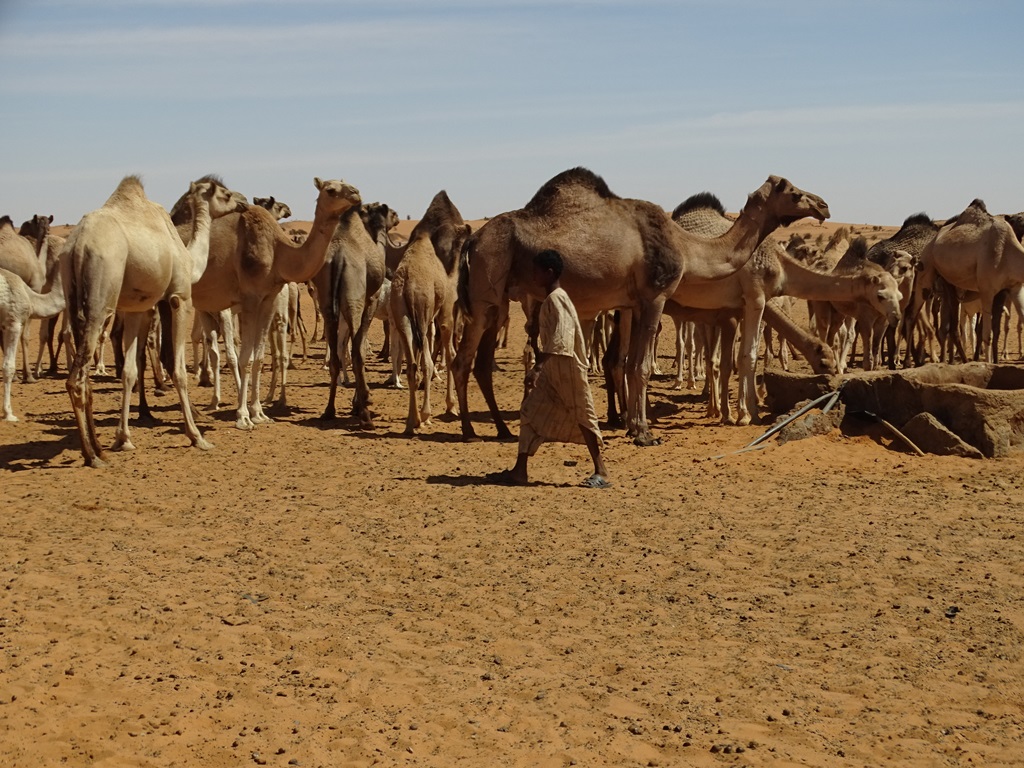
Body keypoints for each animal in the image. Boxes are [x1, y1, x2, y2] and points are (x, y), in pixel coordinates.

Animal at [62, 177, 245, 466]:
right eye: (225, 194)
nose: (243, 202)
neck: (190, 258)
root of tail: (78, 245)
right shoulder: (179, 298)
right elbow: (178, 368)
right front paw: (197, 437)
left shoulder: (137, 308)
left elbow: (129, 372)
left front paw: (123, 439)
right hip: (100, 300)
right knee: (76, 380)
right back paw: (91, 455)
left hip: (71, 295)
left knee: (83, 376)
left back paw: (99, 449)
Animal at [190, 176, 362, 428]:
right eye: (330, 190)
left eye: (347, 182)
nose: (356, 193)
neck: (278, 251)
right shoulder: (250, 300)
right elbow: (245, 358)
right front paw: (243, 416)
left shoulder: (268, 300)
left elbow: (259, 357)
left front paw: (259, 413)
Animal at [452, 167, 827, 444]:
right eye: (793, 192)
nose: (823, 205)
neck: (686, 246)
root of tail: (473, 239)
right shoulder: (654, 297)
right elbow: (641, 366)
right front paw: (645, 433)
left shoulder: (632, 303)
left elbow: (628, 363)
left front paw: (632, 425)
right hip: (485, 294)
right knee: (462, 361)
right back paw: (469, 430)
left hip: (499, 301)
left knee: (482, 364)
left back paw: (501, 428)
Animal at [663, 191, 897, 421]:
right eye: (881, 295)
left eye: (898, 292)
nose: (831, 377)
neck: (779, 264)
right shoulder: (752, 300)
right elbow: (744, 357)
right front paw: (744, 412)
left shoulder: (743, 309)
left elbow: (741, 357)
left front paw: (744, 404)